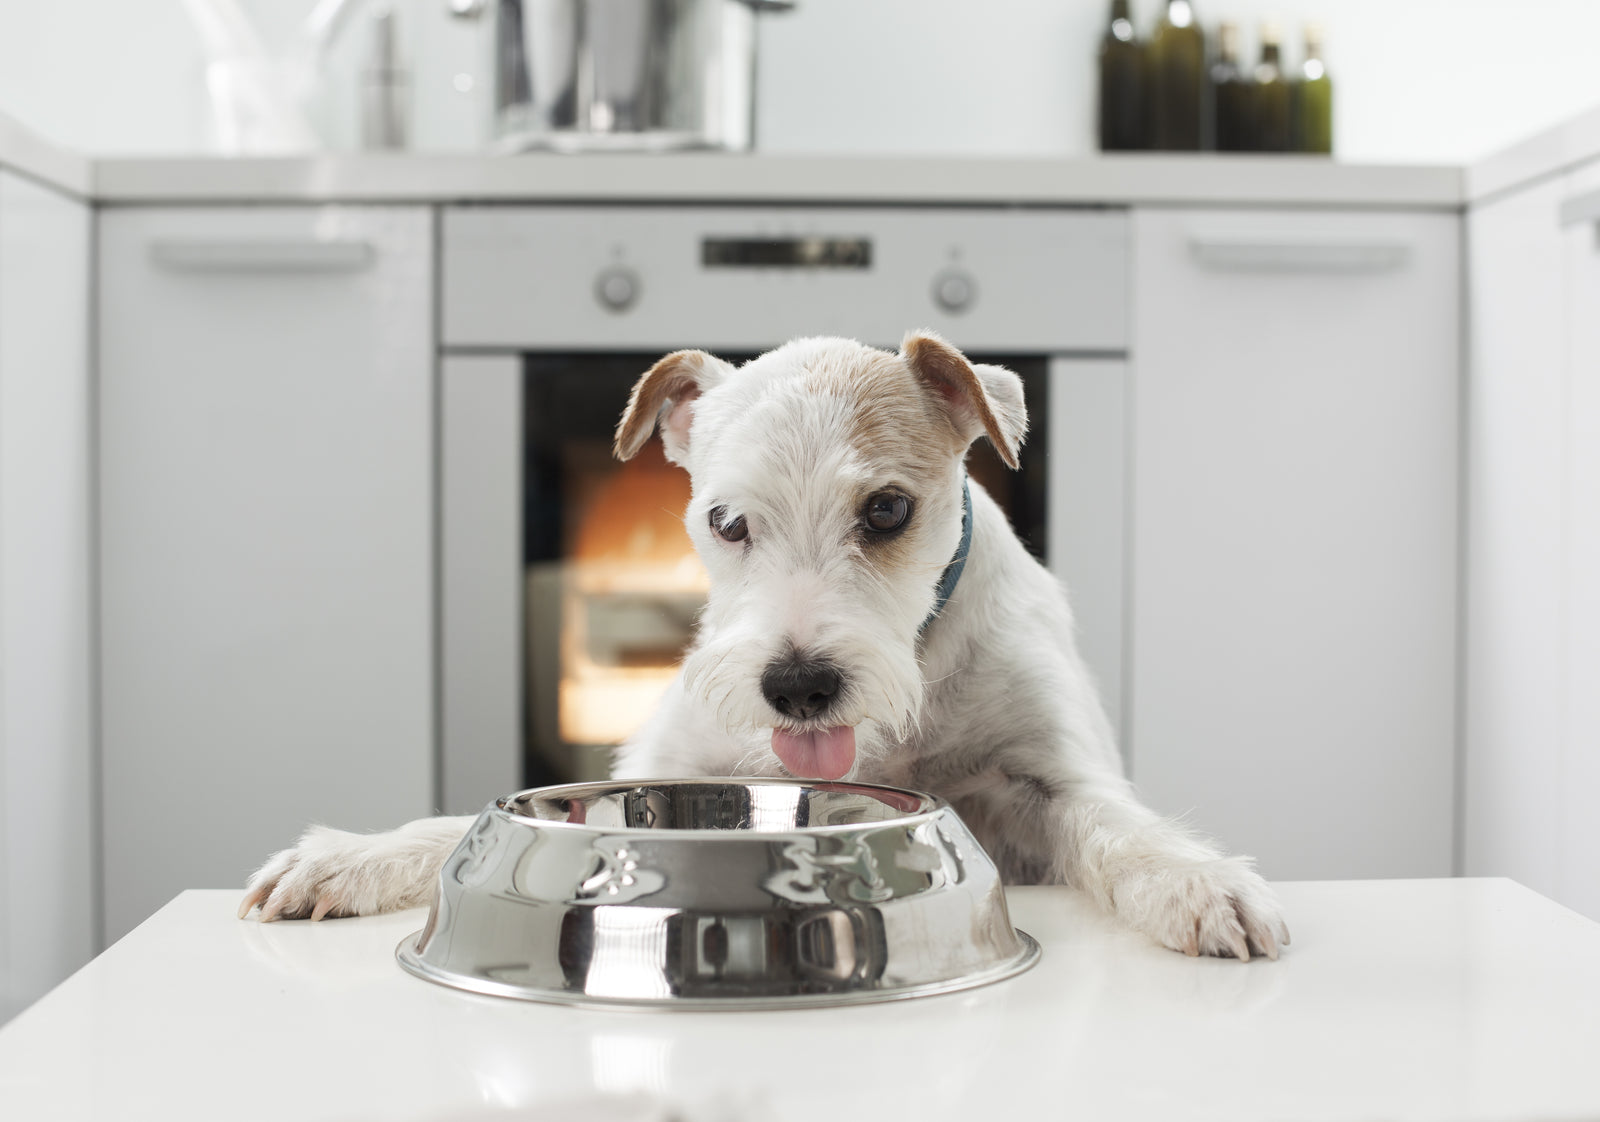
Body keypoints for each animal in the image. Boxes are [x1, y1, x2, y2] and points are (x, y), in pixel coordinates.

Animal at [236, 328, 1286, 960]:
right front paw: (352, 859)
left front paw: (1199, 883)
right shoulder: (659, 770)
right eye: (725, 520)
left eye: (888, 509)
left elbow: (1126, 832)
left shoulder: (1054, 781)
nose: (800, 685)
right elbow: (456, 826)